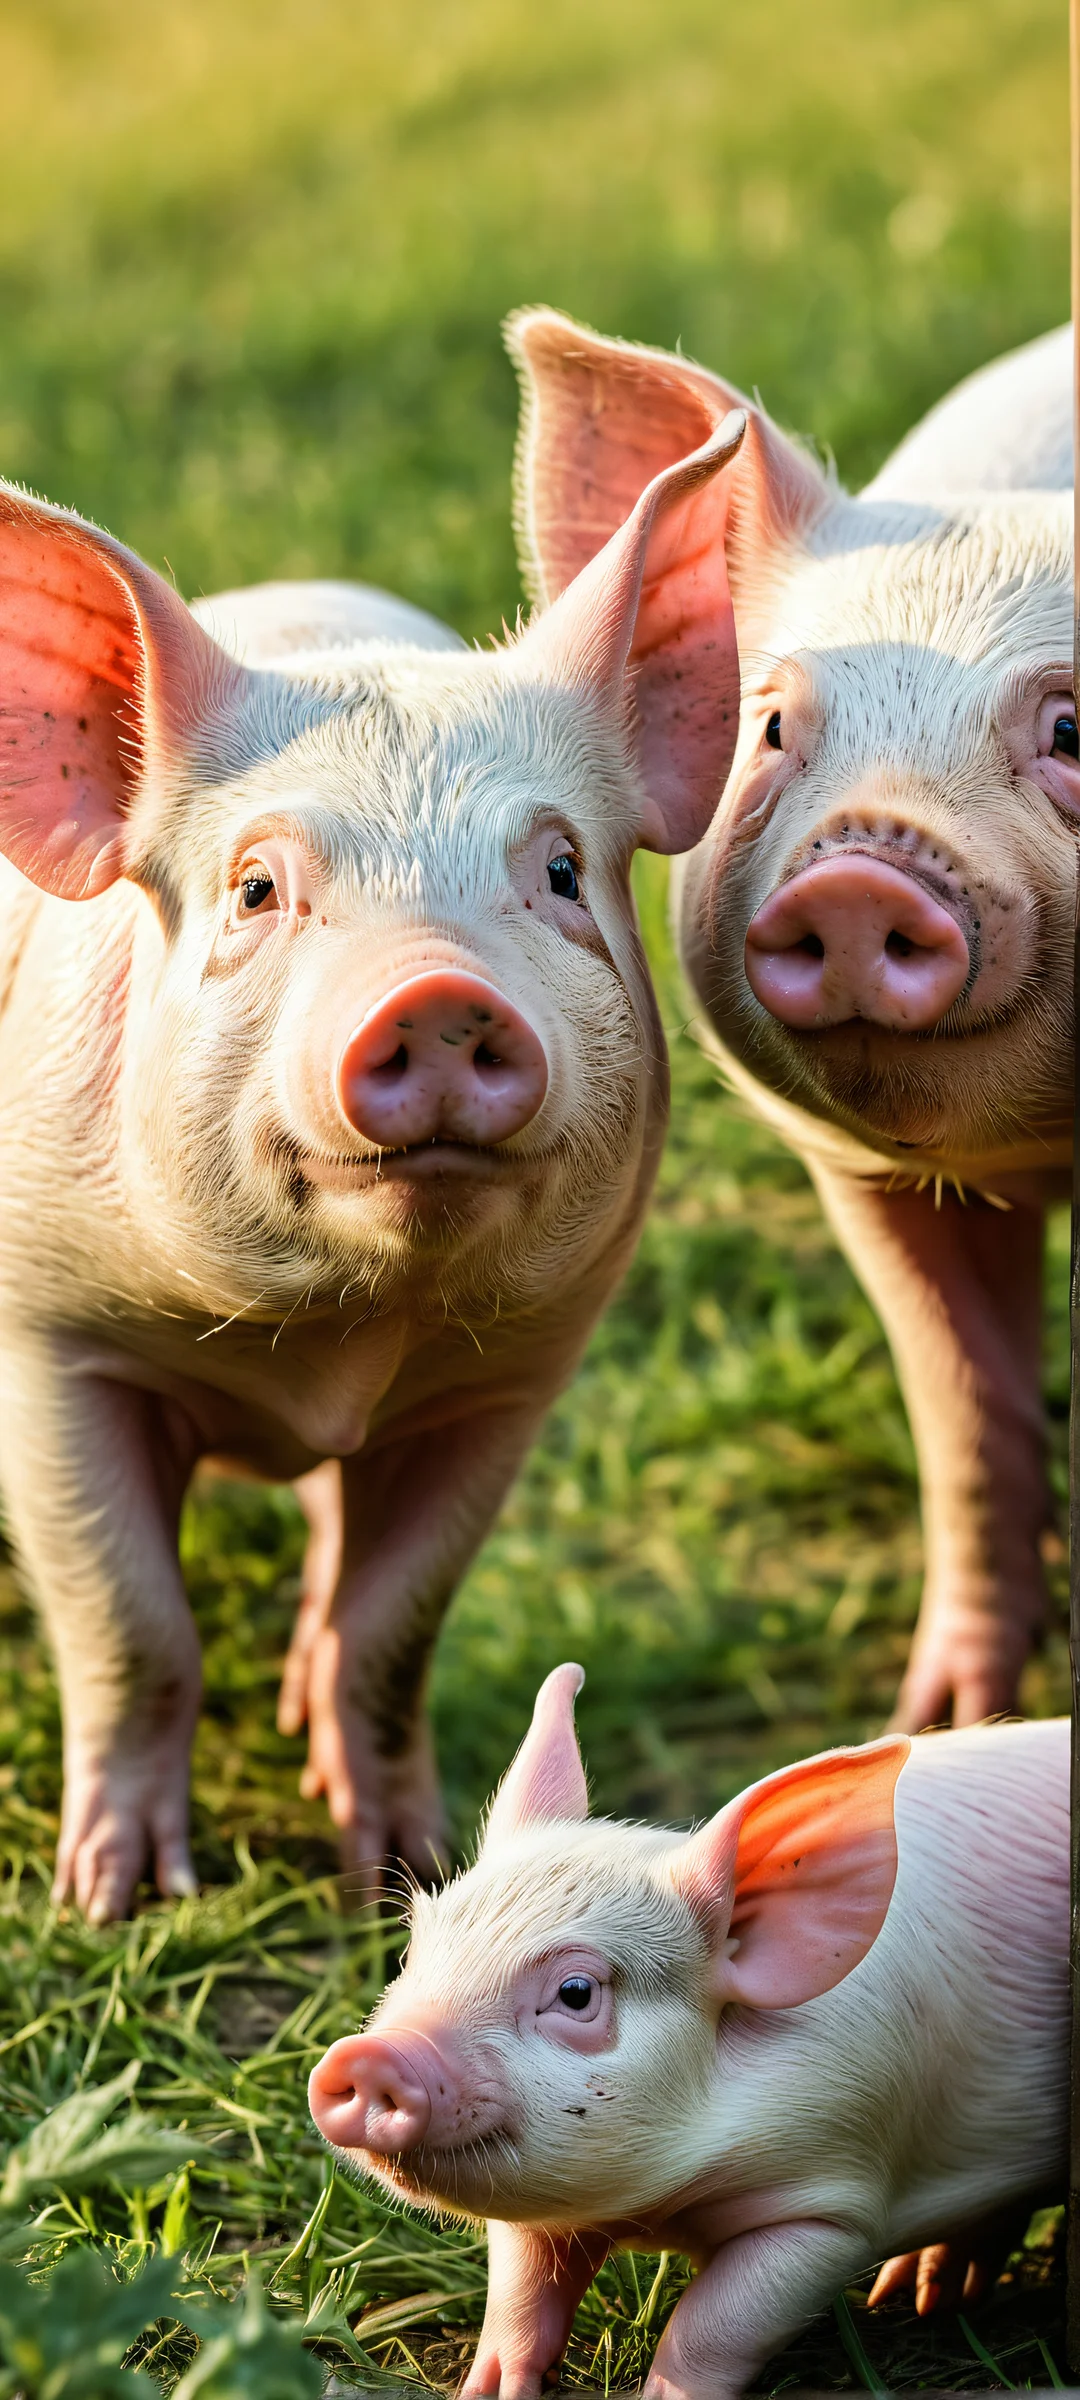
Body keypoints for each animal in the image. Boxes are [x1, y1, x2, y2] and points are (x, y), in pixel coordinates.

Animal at [0, 400, 747, 1921]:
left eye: (562, 872)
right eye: (255, 888)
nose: (440, 995)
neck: (331, 1354)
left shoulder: (508, 1378)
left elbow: (394, 1624)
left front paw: (393, 1869)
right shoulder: (52, 1335)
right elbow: (128, 1620)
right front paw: (119, 1899)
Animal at [309, 1664, 1068, 2400]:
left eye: (576, 1992)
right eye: (412, 1951)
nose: (367, 2055)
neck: (659, 2213)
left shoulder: (833, 2200)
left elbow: (715, 2325)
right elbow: (523, 2292)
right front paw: (490, 2390)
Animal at [506, 308, 1077, 1734]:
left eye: (1072, 728)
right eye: (771, 729)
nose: (861, 872)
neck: (1038, 1152)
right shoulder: (861, 1172)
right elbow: (964, 1412)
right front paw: (939, 1723)